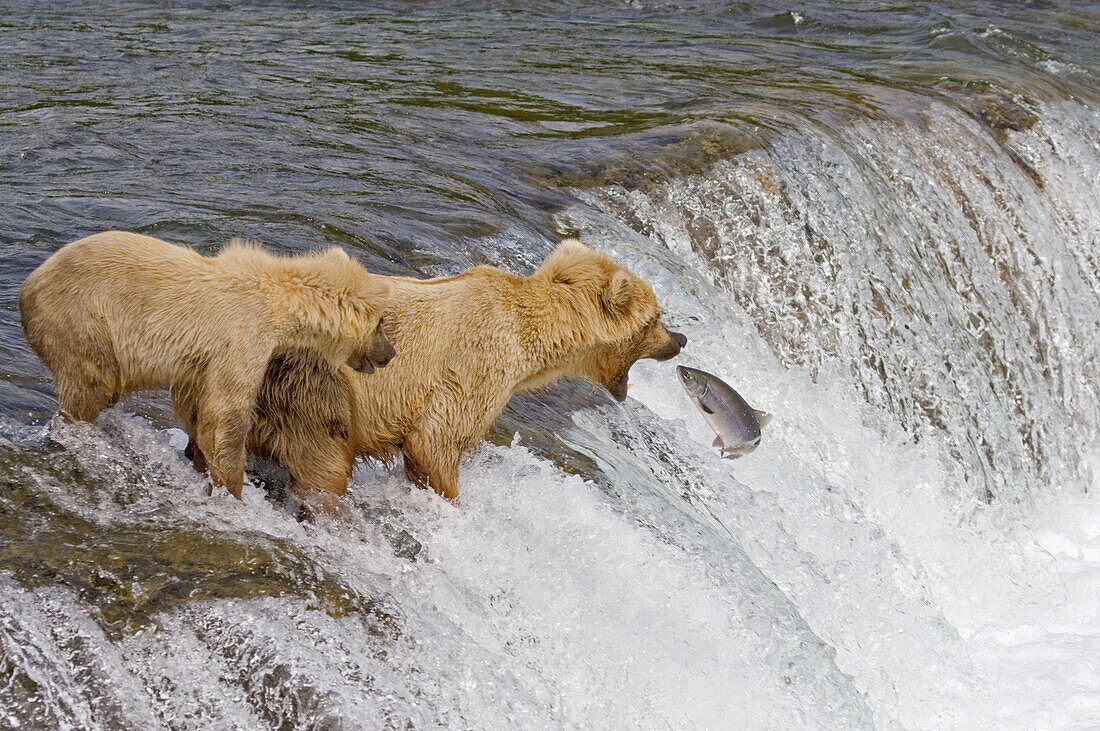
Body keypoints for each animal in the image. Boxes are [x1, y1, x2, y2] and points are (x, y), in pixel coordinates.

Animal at [20, 231, 396, 496]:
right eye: (381, 324)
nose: (390, 353)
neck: (282, 306)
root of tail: (27, 285)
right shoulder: (243, 336)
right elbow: (225, 414)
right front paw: (233, 488)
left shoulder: (203, 362)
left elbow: (198, 408)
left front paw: (198, 459)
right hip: (83, 320)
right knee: (90, 384)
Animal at [180, 239, 686, 507]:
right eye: (657, 317)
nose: (681, 339)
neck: (531, 340)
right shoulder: (475, 364)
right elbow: (436, 443)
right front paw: (450, 500)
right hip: (314, 387)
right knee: (324, 463)